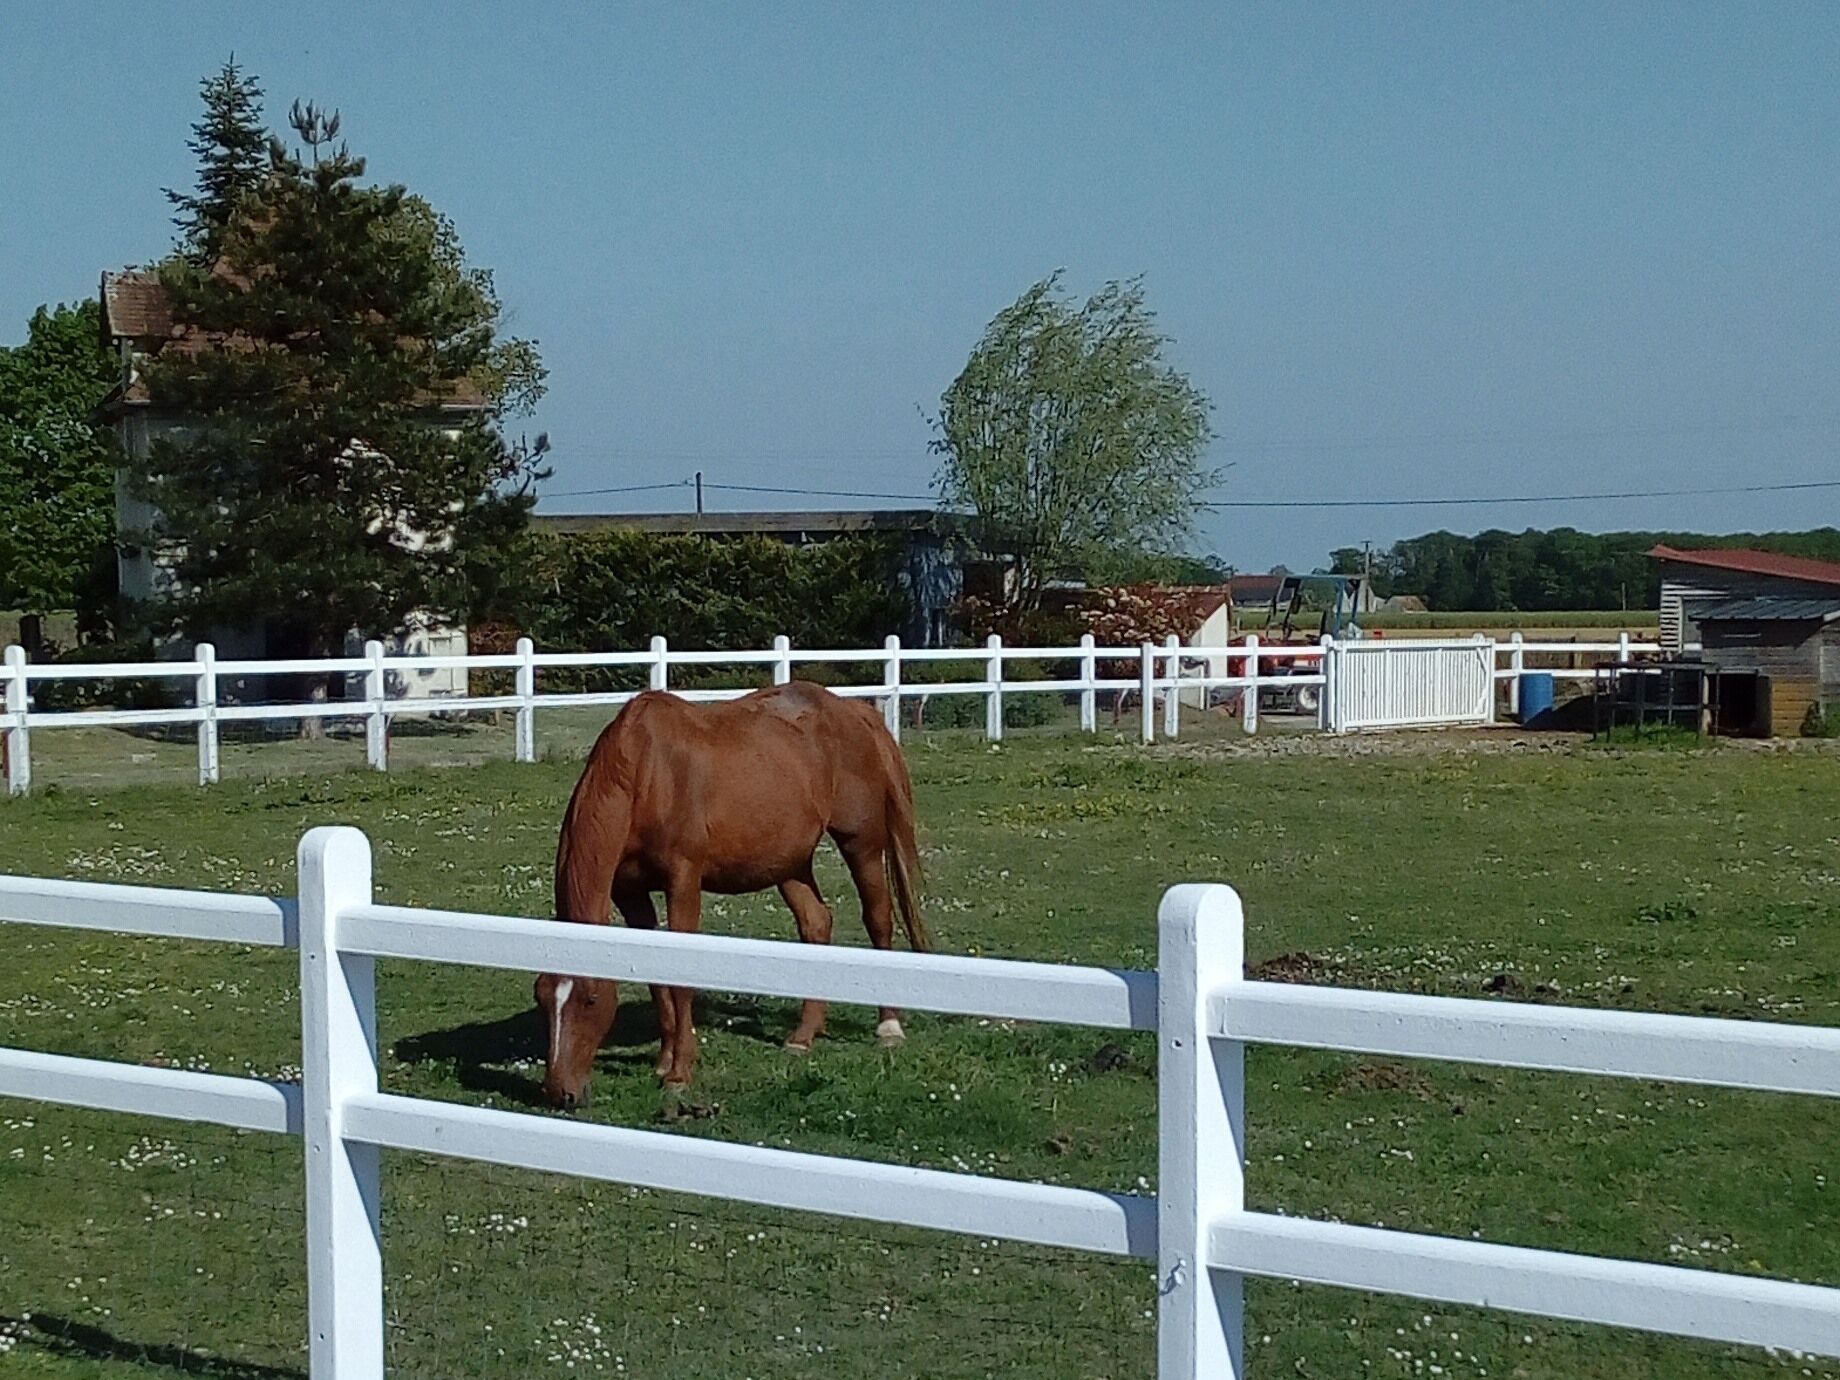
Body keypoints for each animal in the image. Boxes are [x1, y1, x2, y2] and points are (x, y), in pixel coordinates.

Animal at [536, 681, 929, 1108]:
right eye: (542, 997)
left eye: (590, 999)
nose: (561, 1093)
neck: (646, 773)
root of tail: (854, 710)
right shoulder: (630, 893)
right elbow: (656, 976)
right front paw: (664, 1059)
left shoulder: (683, 881)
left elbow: (679, 979)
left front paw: (679, 1071)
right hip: (789, 863)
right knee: (816, 923)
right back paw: (803, 1036)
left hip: (862, 844)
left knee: (878, 919)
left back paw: (889, 1027)